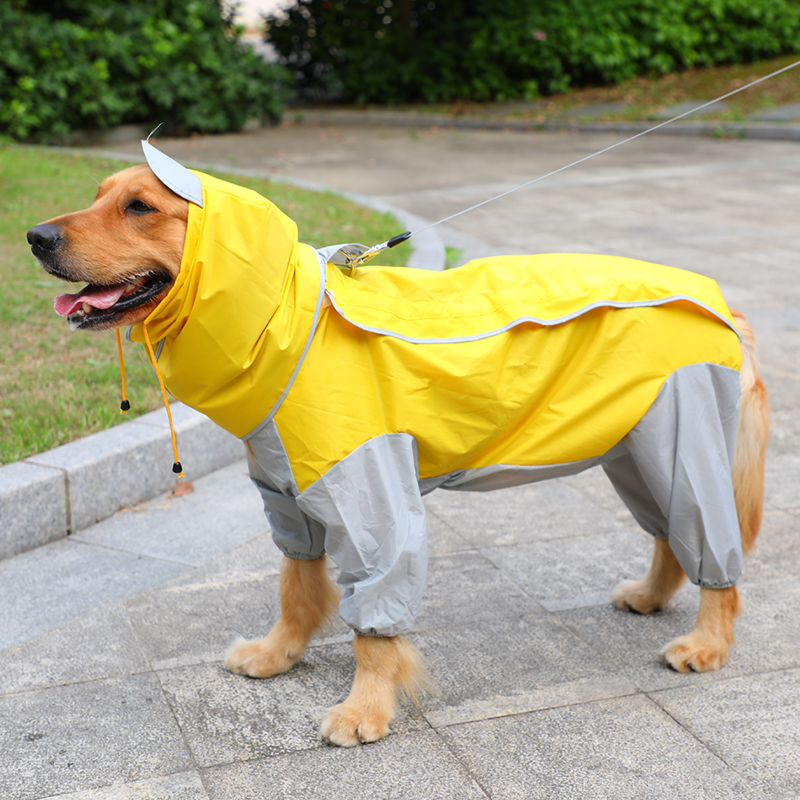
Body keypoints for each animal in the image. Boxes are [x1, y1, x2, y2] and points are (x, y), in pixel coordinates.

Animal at [28, 159, 772, 748]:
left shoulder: (371, 497)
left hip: (681, 436)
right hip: (634, 446)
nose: (36, 237)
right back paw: (650, 597)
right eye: (98, 195)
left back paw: (707, 643)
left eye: (140, 206)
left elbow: (374, 624)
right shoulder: (285, 491)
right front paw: (278, 654)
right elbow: (298, 586)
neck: (289, 326)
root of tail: (720, 299)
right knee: (670, 533)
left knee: (712, 547)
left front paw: (364, 710)